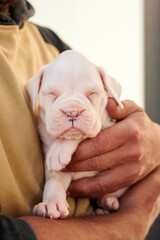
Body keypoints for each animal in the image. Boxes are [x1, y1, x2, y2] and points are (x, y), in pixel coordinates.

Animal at [25, 49, 125, 218]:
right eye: (51, 94)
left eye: (92, 93)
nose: (72, 112)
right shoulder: (60, 172)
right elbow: (54, 181)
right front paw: (52, 204)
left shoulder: (106, 123)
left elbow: (79, 135)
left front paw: (58, 151)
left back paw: (109, 201)